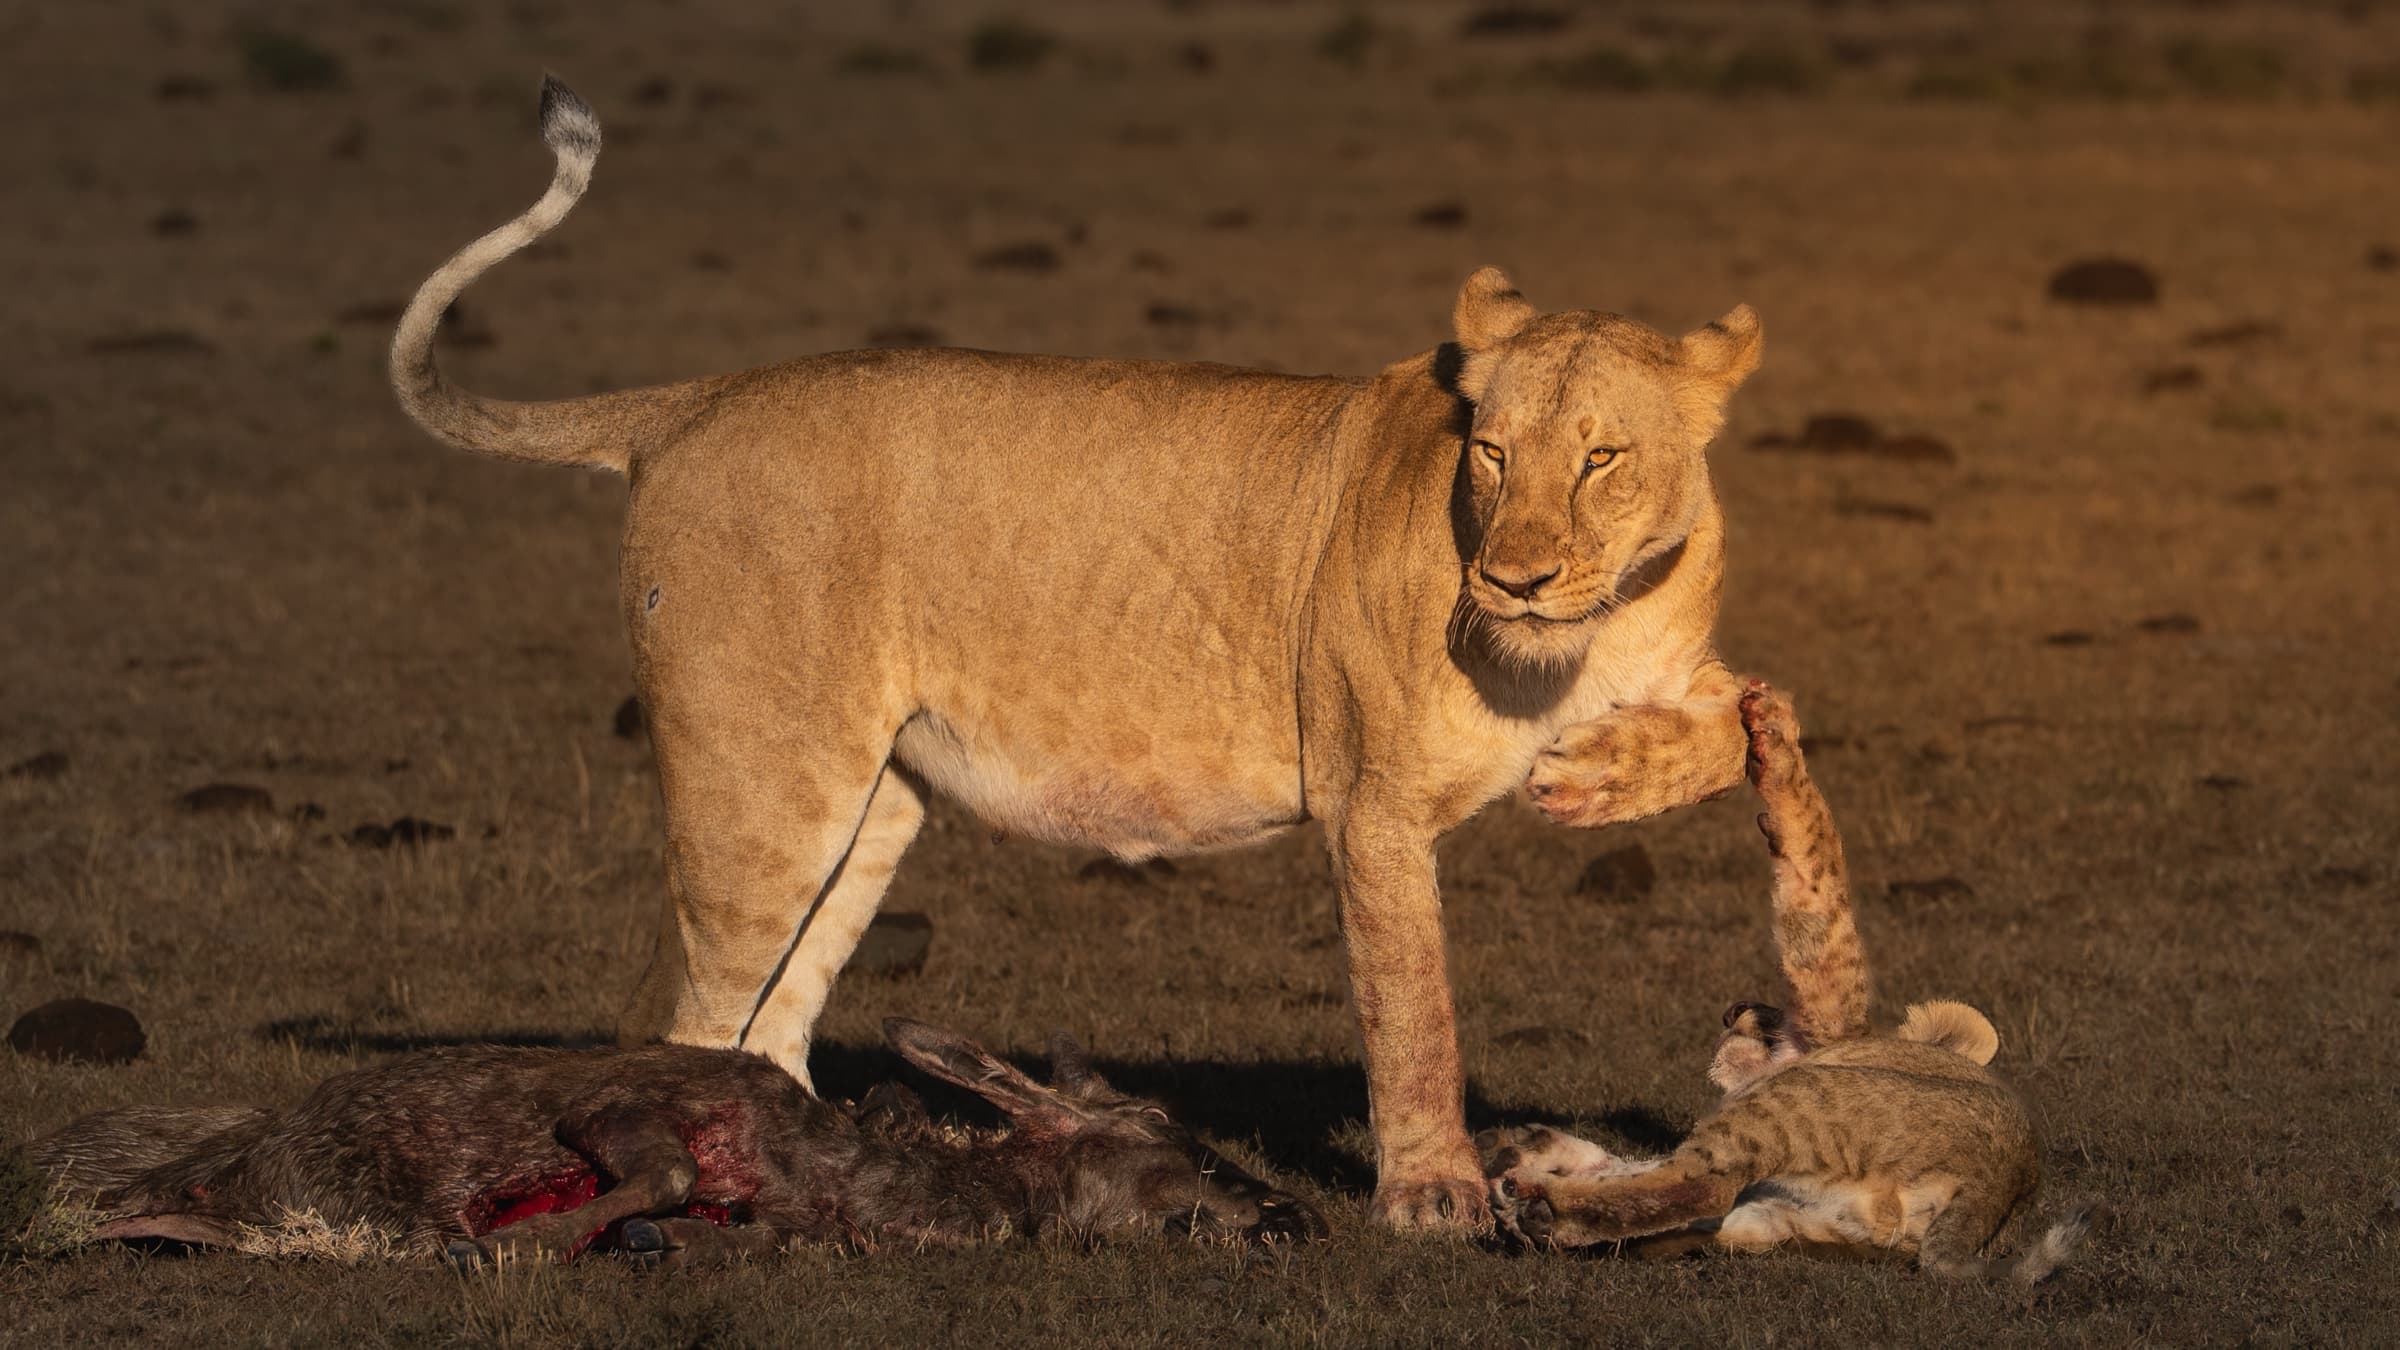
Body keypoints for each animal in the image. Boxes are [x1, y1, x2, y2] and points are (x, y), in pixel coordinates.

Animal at [387, 77, 1765, 1230]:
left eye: (1601, 457)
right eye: (1491, 453)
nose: (1514, 579)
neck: (1580, 632)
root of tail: (696, 401)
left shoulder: (1678, 661)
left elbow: (1742, 722)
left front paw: (1607, 774)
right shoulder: (1372, 806)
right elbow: (1413, 1008)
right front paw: (1433, 1197)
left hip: (870, 803)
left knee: (767, 1025)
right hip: (764, 786)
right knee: (675, 1017)